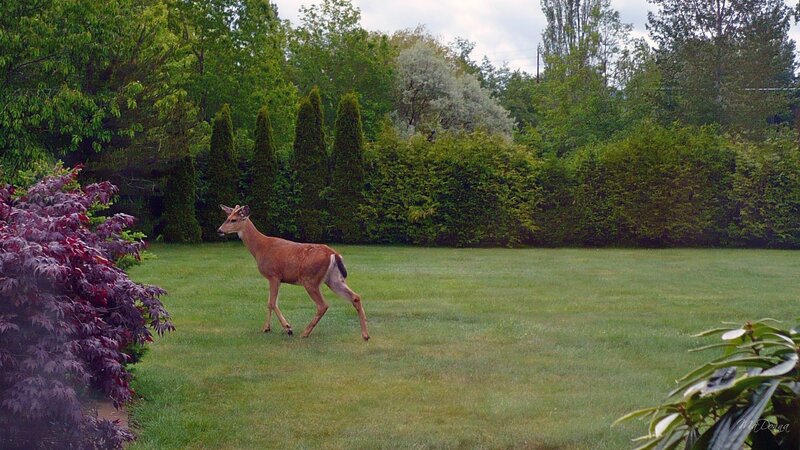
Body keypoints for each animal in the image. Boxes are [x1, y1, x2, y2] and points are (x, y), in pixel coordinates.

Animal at [216, 204, 369, 341]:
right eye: (227, 217)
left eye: (233, 220)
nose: (219, 230)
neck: (260, 248)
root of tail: (334, 254)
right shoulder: (275, 279)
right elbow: (269, 302)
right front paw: (266, 328)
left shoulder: (274, 275)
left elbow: (272, 303)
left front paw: (288, 328)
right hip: (333, 279)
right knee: (355, 297)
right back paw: (365, 335)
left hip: (310, 280)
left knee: (323, 305)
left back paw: (304, 333)